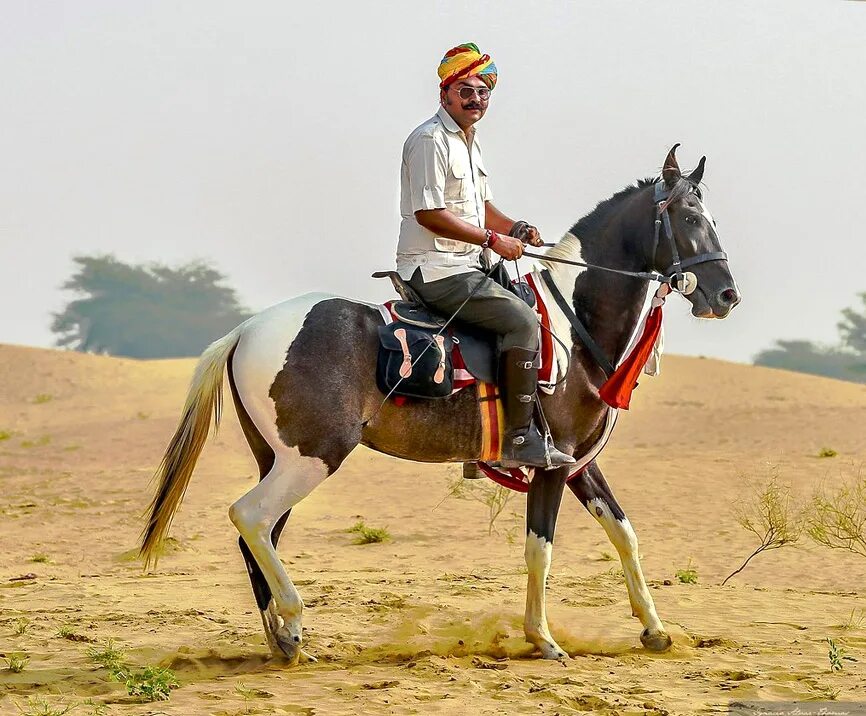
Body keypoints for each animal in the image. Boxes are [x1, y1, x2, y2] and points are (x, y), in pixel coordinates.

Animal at [138, 145, 740, 664]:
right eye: (689, 216)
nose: (727, 295)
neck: (572, 327)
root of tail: (246, 329)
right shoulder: (550, 466)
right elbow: (540, 548)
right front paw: (542, 638)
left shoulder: (576, 464)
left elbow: (624, 534)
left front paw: (655, 629)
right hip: (313, 457)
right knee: (250, 517)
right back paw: (292, 619)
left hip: (279, 460)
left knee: (259, 534)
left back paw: (282, 639)